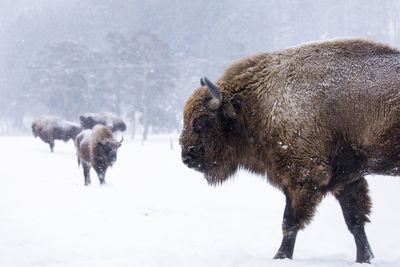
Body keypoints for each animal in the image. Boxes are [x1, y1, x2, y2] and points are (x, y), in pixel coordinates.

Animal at [180, 38, 400, 264]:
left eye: (203, 121)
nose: (187, 157)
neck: (259, 103)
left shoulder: (302, 177)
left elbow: (290, 221)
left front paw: (280, 256)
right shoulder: (346, 178)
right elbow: (355, 220)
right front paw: (364, 258)